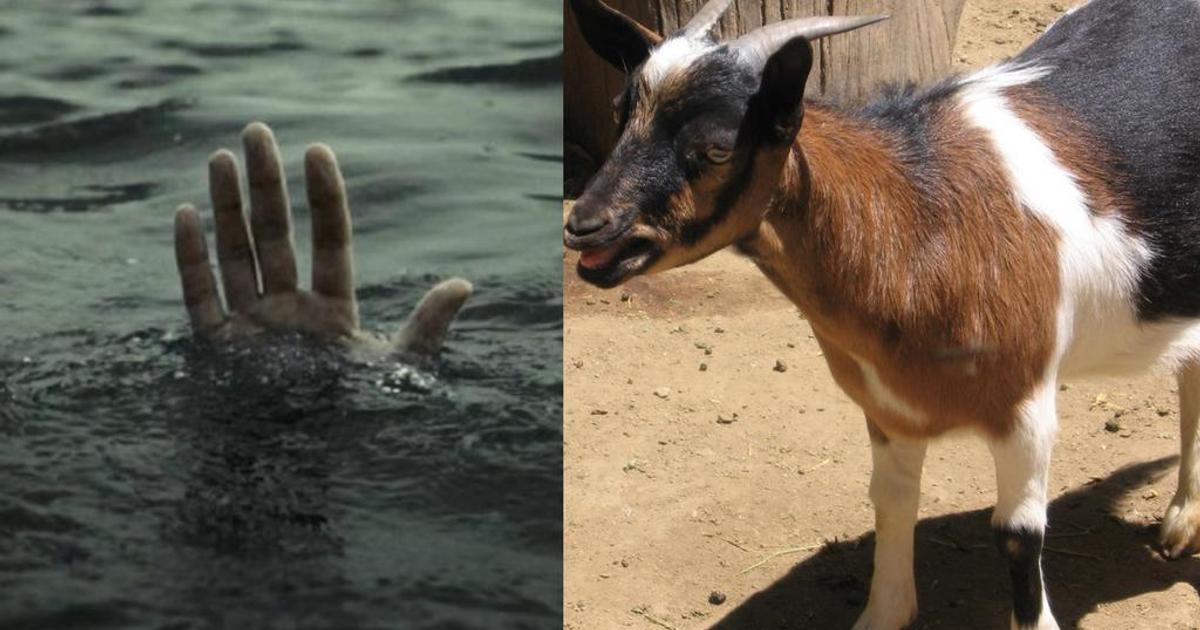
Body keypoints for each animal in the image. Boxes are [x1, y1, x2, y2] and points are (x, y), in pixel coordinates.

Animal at [564, 0, 1200, 628]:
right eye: (621, 115)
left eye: (717, 149)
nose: (585, 225)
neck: (920, 225)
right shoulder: (888, 406)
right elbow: (891, 503)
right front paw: (886, 612)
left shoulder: (1025, 406)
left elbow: (1019, 537)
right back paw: (1183, 521)